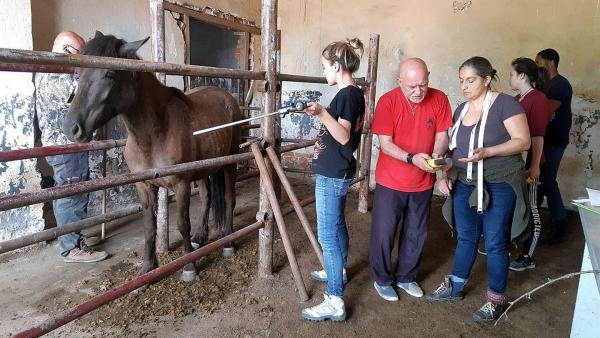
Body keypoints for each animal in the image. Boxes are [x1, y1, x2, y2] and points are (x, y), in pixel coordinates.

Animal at [65, 32, 241, 282]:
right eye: (77, 74)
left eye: (110, 74)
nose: (72, 129)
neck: (155, 133)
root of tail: (227, 98)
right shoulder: (144, 185)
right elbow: (149, 227)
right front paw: (147, 270)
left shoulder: (181, 184)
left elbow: (182, 224)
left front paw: (189, 266)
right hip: (203, 170)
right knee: (207, 197)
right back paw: (200, 237)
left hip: (229, 162)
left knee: (228, 198)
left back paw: (228, 241)